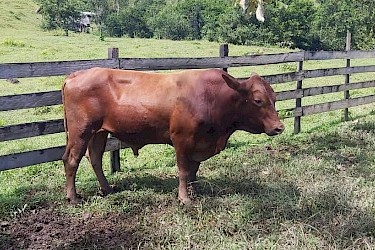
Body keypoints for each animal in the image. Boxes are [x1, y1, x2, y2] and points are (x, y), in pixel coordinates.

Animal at [61, 67, 284, 204]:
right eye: (258, 100)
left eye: (274, 97)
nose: (279, 127)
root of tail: (76, 75)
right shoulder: (182, 140)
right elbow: (184, 170)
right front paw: (184, 198)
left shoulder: (199, 142)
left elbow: (194, 170)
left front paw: (194, 192)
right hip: (81, 131)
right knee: (72, 160)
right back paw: (73, 197)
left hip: (99, 132)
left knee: (95, 158)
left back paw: (107, 188)